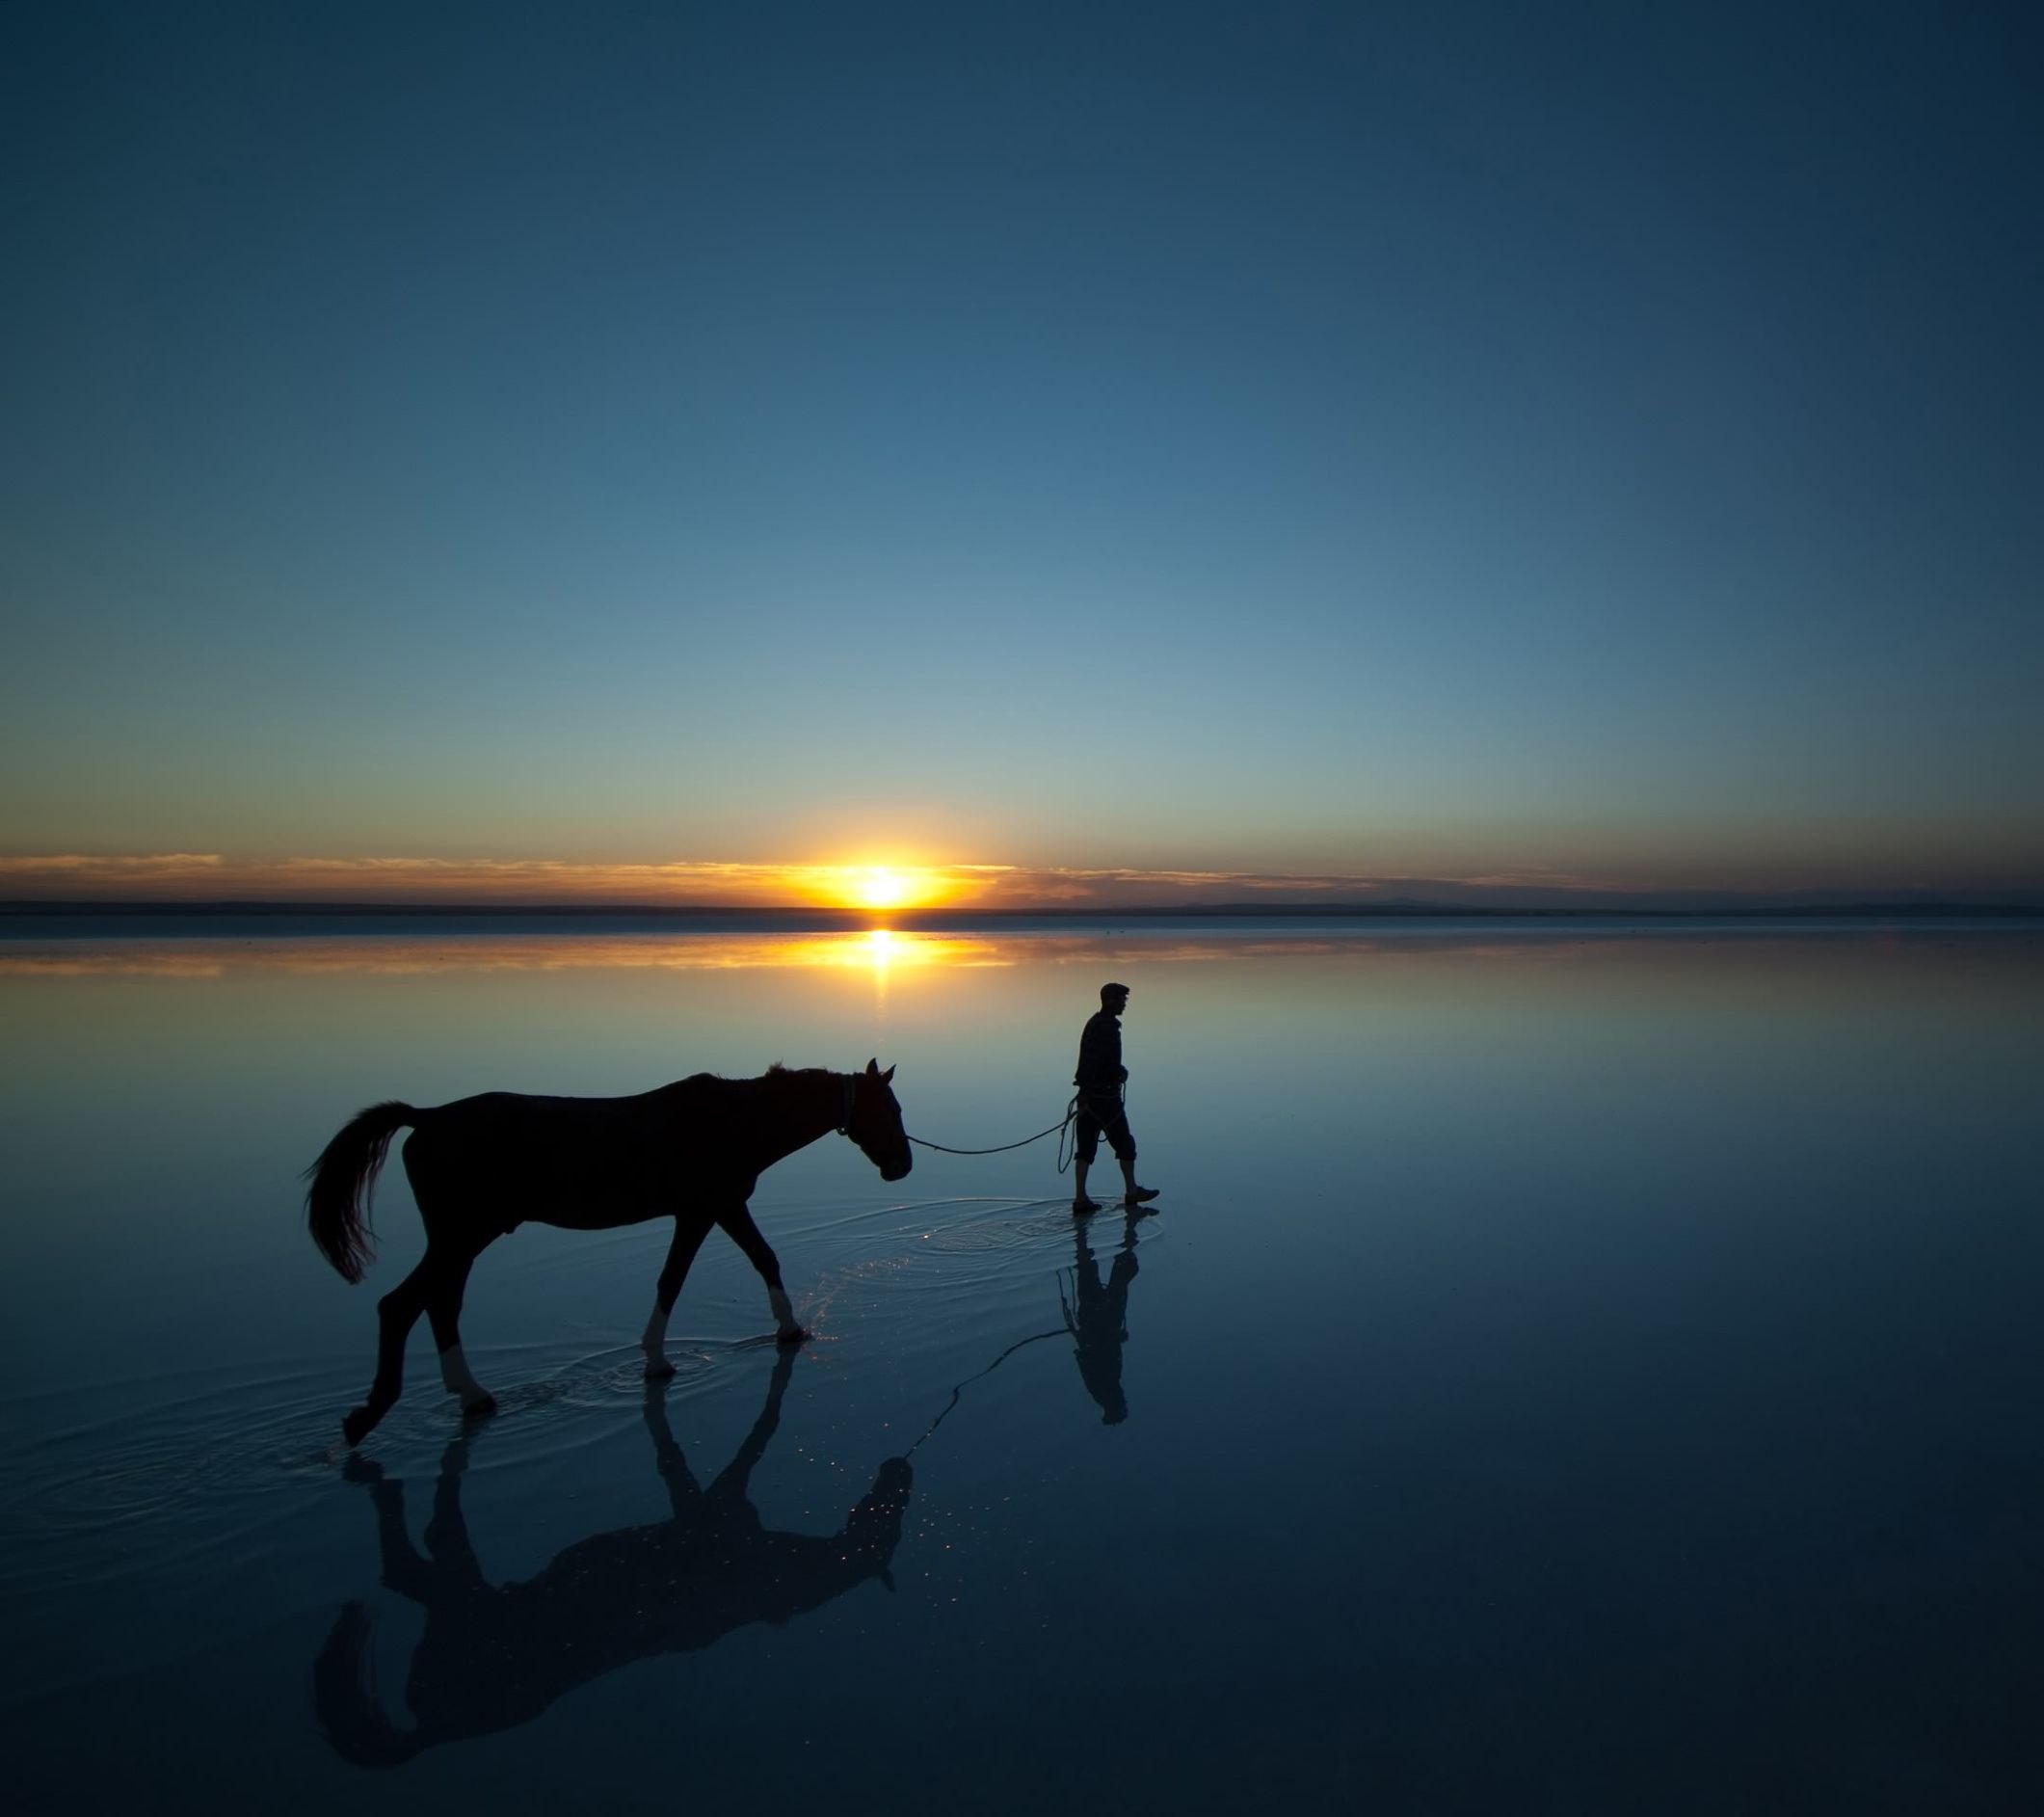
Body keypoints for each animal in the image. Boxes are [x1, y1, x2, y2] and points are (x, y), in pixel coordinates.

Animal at [305, 1055, 911, 1438]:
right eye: (890, 1110)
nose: (903, 1165)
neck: (737, 1121)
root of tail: (424, 1118)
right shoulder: (710, 1209)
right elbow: (691, 1275)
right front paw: (663, 1359)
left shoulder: (709, 1211)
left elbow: (749, 1261)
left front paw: (782, 1329)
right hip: (462, 1235)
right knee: (403, 1305)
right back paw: (372, 1414)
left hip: (459, 1239)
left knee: (439, 1303)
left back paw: (470, 1395)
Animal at [312, 1356, 911, 1765]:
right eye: (889, 1529)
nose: (902, 1470)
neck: (766, 1577)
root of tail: (431, 1732)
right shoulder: (720, 1510)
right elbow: (744, 1445)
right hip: (460, 1599)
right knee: (419, 1557)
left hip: (458, 1599)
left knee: (413, 1565)